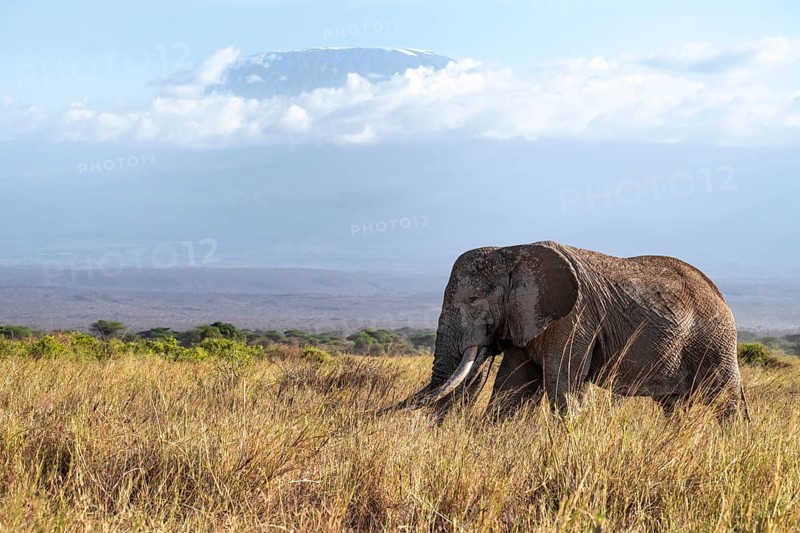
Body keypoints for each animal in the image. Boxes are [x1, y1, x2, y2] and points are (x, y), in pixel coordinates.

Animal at [382, 241, 749, 423]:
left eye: (472, 300)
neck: (513, 251)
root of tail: (719, 293)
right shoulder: (526, 319)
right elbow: (511, 387)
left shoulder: (574, 317)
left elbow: (563, 384)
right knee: (674, 406)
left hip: (714, 339)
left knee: (726, 399)